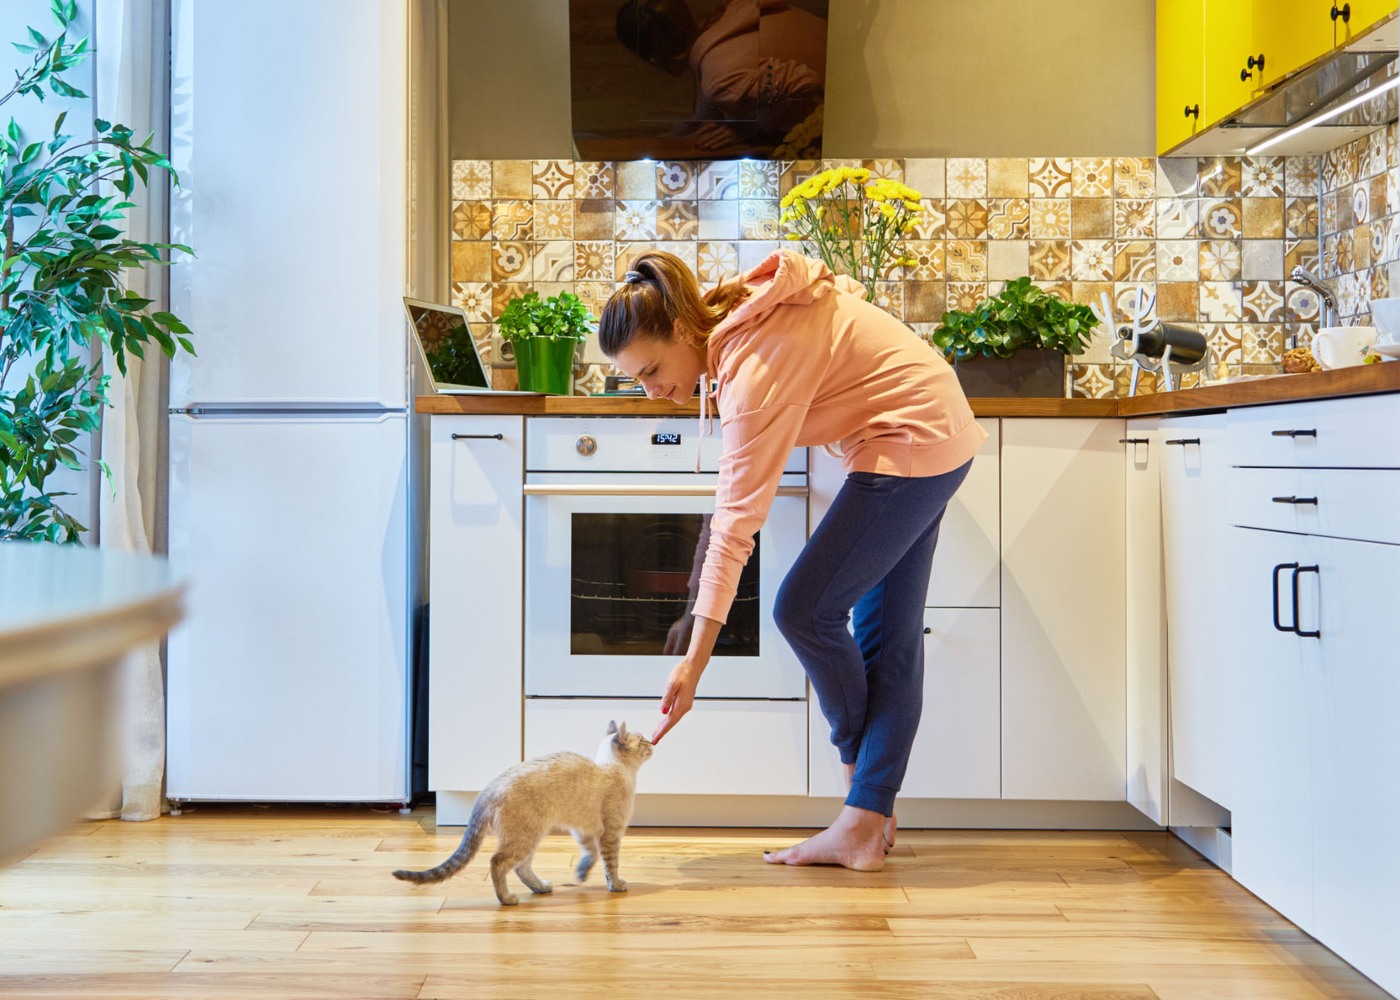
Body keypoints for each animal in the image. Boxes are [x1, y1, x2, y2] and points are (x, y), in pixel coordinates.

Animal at [394, 717, 655, 901]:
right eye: (642, 740)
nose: (653, 742)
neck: (614, 768)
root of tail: (489, 788)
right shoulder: (610, 833)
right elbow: (611, 864)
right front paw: (617, 886)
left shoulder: (583, 829)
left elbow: (590, 855)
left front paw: (582, 874)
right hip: (526, 836)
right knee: (498, 863)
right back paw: (507, 899)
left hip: (532, 835)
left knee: (521, 867)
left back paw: (540, 888)